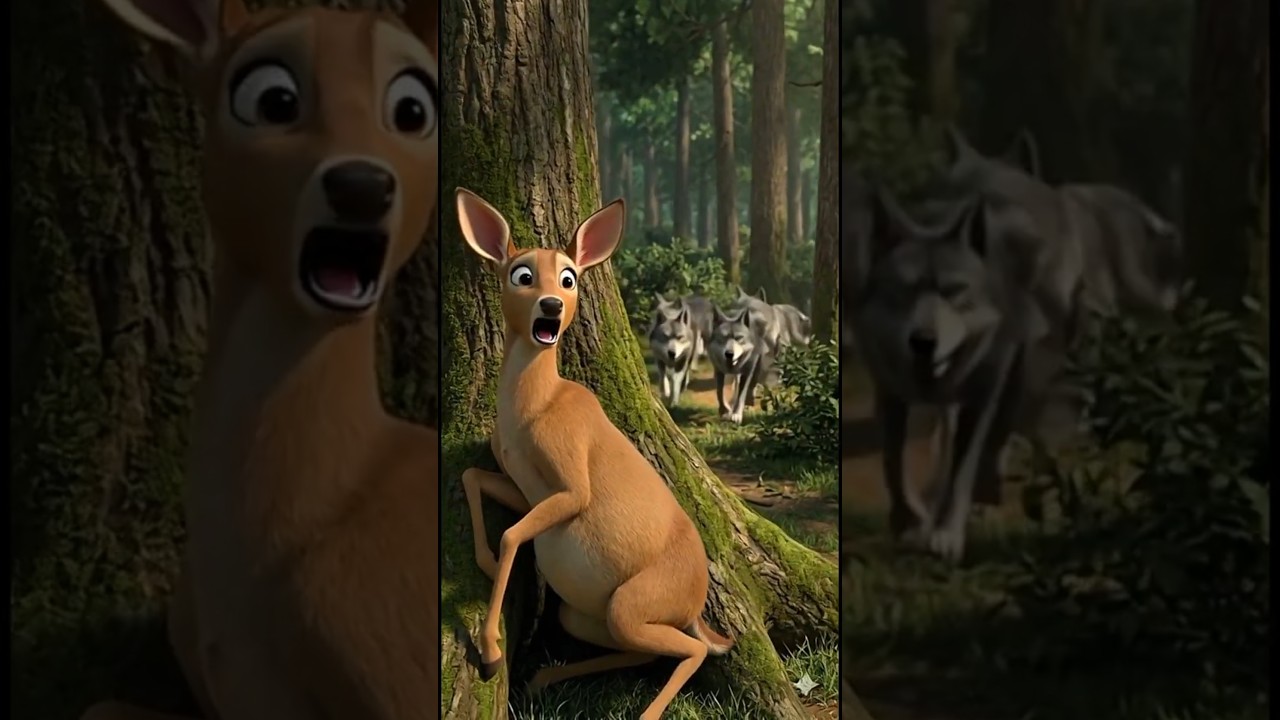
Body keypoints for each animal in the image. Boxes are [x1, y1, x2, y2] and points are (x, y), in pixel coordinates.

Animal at [454, 188, 736, 720]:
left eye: (569, 277)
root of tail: (695, 603)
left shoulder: (571, 485)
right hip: (584, 614)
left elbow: (515, 533)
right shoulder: (527, 488)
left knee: (691, 650)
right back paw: (544, 677)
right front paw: (484, 562)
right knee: (640, 650)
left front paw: (491, 649)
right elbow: (472, 476)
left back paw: (643, 713)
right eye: (520, 273)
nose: (550, 306)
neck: (537, 406)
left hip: (634, 602)